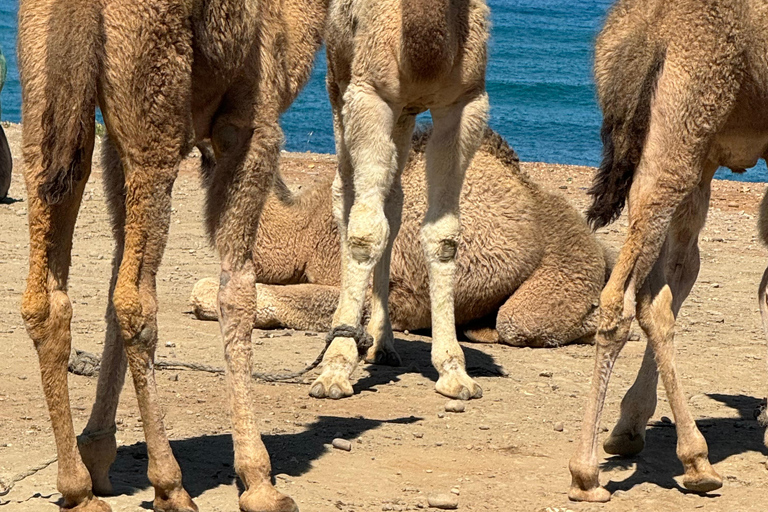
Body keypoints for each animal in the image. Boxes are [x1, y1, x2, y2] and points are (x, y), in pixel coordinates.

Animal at [20, 1, 328, 512]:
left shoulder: (113, 145)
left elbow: (113, 273)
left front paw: (99, 453)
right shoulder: (251, 126)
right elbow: (237, 288)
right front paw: (259, 480)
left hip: (48, 105)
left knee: (49, 300)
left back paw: (78, 489)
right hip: (154, 104)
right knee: (136, 302)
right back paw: (170, 485)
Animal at [308, 0, 492, 400]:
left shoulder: (465, 102)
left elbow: (444, 235)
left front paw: (454, 371)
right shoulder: (368, 95)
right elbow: (364, 233)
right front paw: (334, 370)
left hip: (404, 114)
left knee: (392, 202)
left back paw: (382, 344)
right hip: (337, 83)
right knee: (346, 192)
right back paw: (340, 332)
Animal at [564, 0, 768, 502]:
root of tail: (648, 28)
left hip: (678, 138)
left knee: (661, 287)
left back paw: (646, 441)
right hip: (688, 113)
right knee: (624, 298)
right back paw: (591, 474)